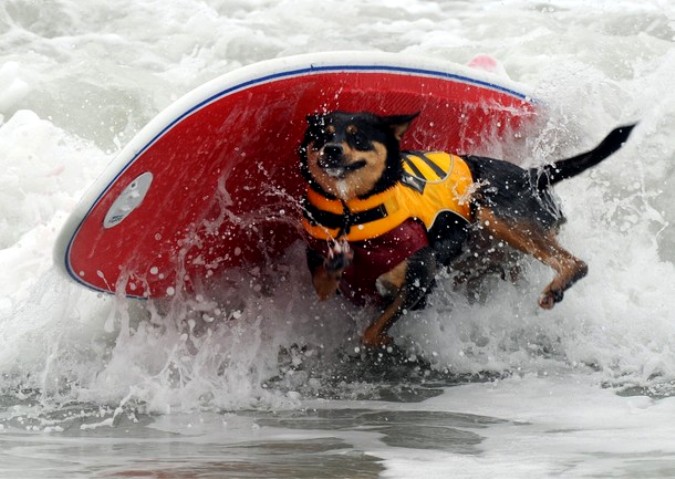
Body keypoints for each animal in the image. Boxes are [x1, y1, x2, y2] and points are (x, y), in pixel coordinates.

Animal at [298, 114, 636, 350]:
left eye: (359, 138)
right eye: (321, 135)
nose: (331, 150)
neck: (355, 213)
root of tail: (532, 175)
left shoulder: (421, 279)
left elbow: (371, 331)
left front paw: (389, 344)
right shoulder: (332, 283)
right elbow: (327, 284)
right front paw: (337, 261)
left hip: (495, 213)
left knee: (575, 263)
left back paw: (556, 287)